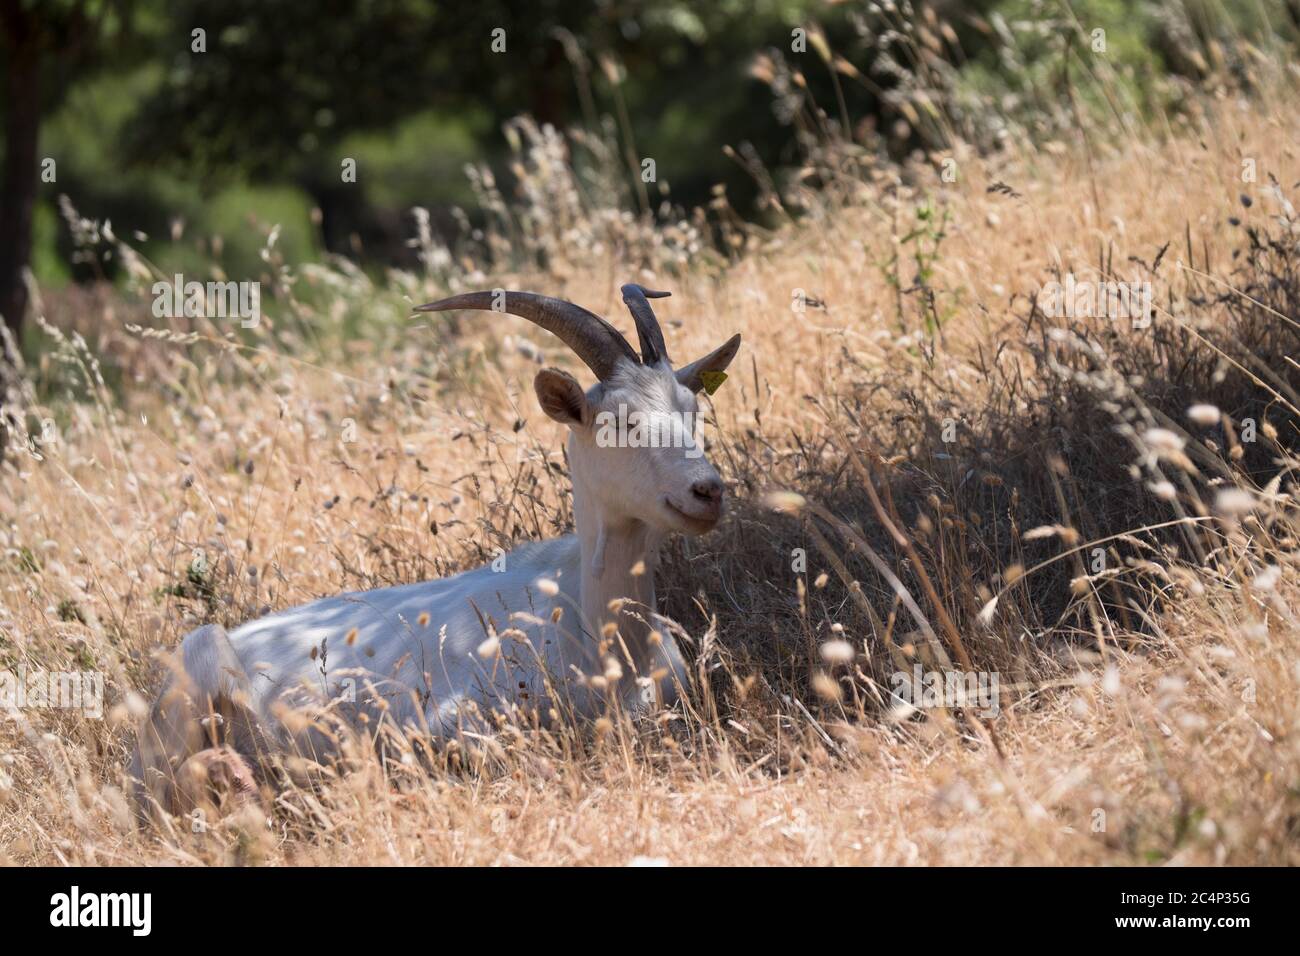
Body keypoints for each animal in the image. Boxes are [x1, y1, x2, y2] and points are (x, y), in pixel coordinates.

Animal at [130, 284, 741, 817]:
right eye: (617, 421)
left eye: (692, 411)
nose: (706, 490)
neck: (603, 640)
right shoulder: (439, 719)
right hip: (195, 672)